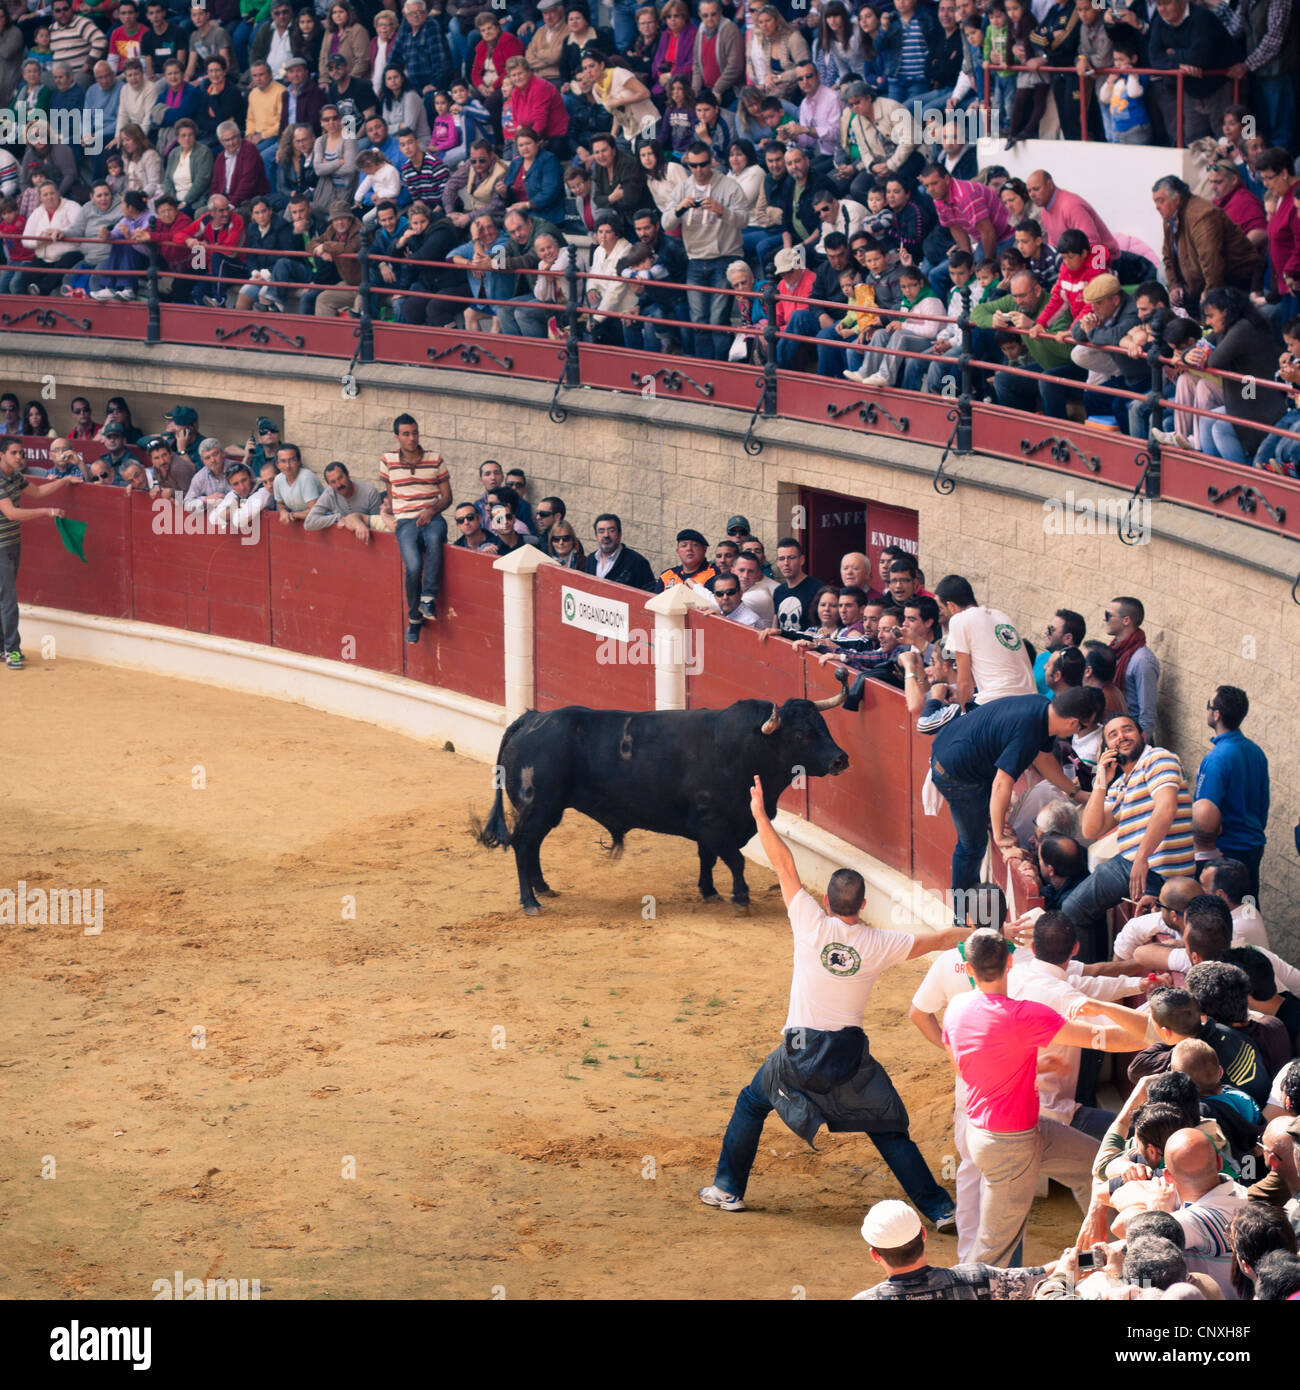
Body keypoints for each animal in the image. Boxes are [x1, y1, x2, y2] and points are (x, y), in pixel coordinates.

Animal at [478, 686, 856, 911]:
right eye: (801, 734)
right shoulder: (715, 822)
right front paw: (740, 896)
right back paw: (530, 901)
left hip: (547, 811)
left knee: (532, 847)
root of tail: (531, 718)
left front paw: (709, 891)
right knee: (523, 845)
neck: (746, 747)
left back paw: (543, 888)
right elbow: (734, 860)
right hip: (538, 808)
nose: (840, 759)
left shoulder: (711, 826)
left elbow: (708, 858)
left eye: (823, 725)